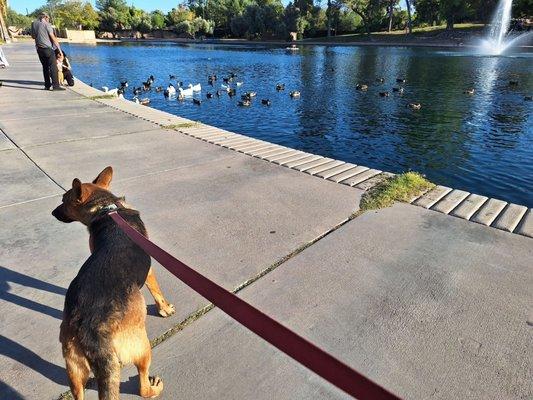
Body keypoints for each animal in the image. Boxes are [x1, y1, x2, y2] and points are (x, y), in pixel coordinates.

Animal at [51, 167, 172, 398]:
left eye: (63, 200)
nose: (52, 213)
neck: (106, 208)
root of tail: (90, 330)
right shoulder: (149, 270)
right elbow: (156, 290)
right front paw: (165, 309)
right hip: (142, 347)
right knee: (142, 386)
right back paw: (154, 387)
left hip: (74, 369)